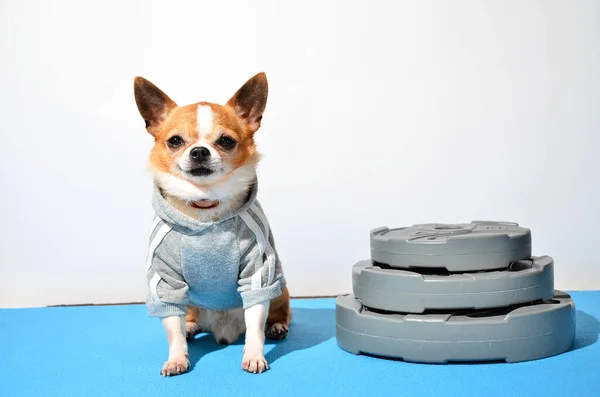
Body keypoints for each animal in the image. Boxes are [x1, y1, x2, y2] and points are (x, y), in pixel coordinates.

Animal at [137, 72, 296, 374]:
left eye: (226, 141)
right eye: (175, 141)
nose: (199, 151)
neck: (205, 204)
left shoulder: (257, 271)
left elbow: (255, 324)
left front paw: (254, 355)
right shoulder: (167, 282)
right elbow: (172, 328)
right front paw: (177, 358)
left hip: (280, 288)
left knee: (277, 312)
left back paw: (277, 327)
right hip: (191, 301)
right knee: (187, 319)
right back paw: (190, 327)